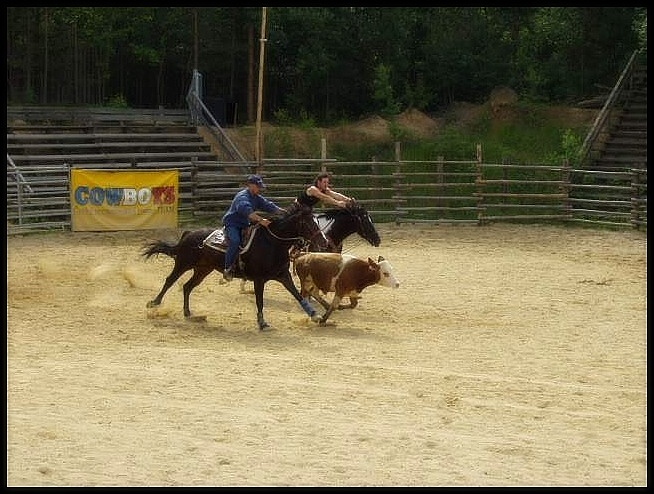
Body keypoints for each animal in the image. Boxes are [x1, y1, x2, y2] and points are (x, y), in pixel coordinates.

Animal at [143, 205, 328, 332]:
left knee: (187, 286)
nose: (324, 242)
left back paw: (187, 312)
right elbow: (260, 301)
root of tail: (188, 234)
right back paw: (154, 302)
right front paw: (262, 323)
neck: (272, 243)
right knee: (170, 280)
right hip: (183, 263)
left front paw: (315, 315)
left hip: (203, 270)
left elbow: (298, 295)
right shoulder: (259, 279)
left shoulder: (283, 275)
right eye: (309, 223)